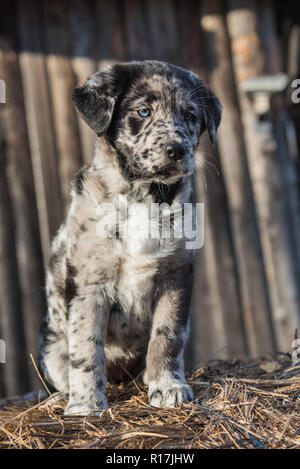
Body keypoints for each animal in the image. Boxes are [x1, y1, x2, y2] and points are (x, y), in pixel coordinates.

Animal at [38, 59, 220, 414]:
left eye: (190, 115)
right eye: (143, 111)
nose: (176, 149)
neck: (142, 197)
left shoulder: (177, 276)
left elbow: (167, 336)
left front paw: (168, 387)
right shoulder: (87, 283)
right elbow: (86, 348)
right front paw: (86, 405)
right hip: (51, 345)